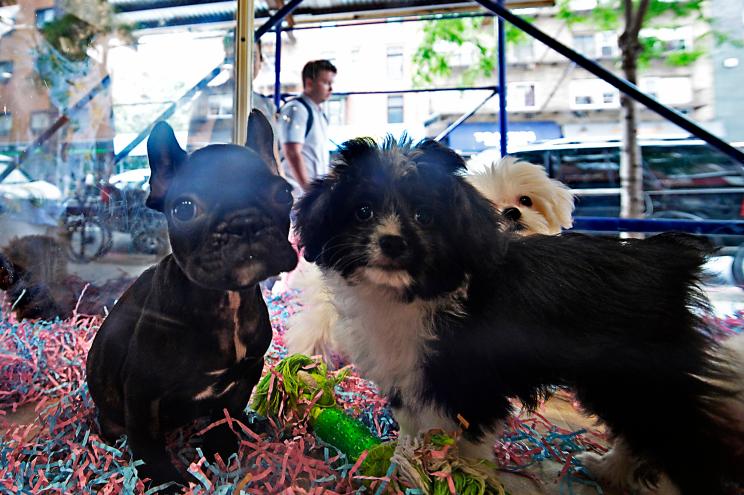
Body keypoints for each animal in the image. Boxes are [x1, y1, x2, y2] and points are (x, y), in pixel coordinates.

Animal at [85, 110, 298, 486]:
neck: (225, 301)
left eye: (284, 193)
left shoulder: (248, 371)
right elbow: (146, 440)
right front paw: (163, 480)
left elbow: (228, 412)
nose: (244, 223)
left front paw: (221, 446)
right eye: (184, 209)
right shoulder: (142, 391)